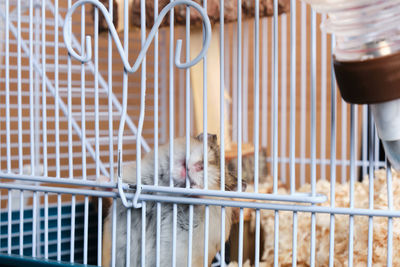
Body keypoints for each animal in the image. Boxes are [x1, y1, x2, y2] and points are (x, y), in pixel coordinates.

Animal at [101, 135, 242, 267]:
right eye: (210, 149)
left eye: (220, 182)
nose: (200, 166)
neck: (165, 191)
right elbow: (115, 189)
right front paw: (102, 180)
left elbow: (199, 203)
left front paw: (197, 189)